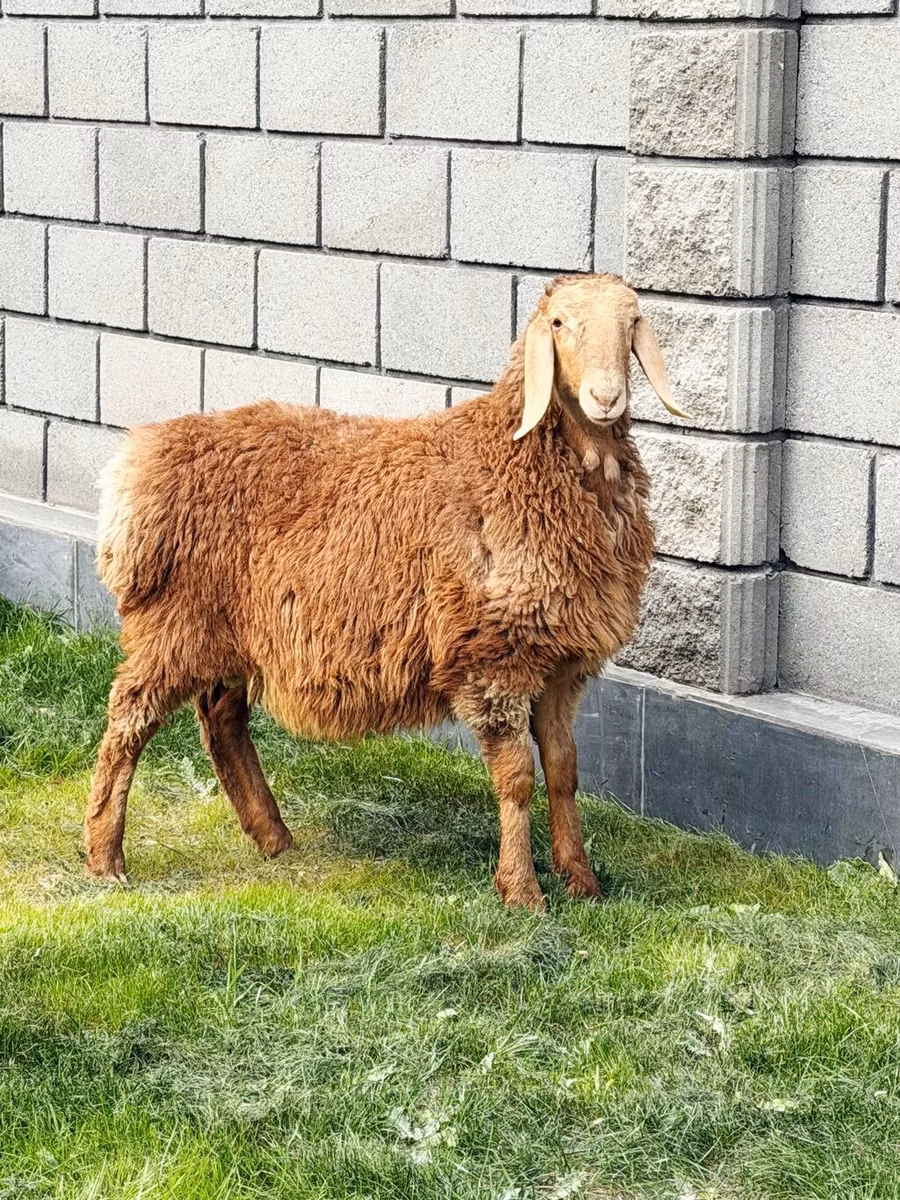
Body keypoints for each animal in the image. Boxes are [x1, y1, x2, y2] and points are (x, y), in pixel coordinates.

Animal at [85, 273, 684, 908]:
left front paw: (582, 881)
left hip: (230, 633)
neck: (519, 460)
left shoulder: (561, 662)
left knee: (222, 723)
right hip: (174, 623)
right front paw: (523, 892)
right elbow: (518, 778)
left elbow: (566, 772)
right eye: (558, 324)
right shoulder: (491, 656)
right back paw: (105, 858)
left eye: (632, 323)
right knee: (127, 722)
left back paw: (273, 837)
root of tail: (139, 463)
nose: (605, 396)